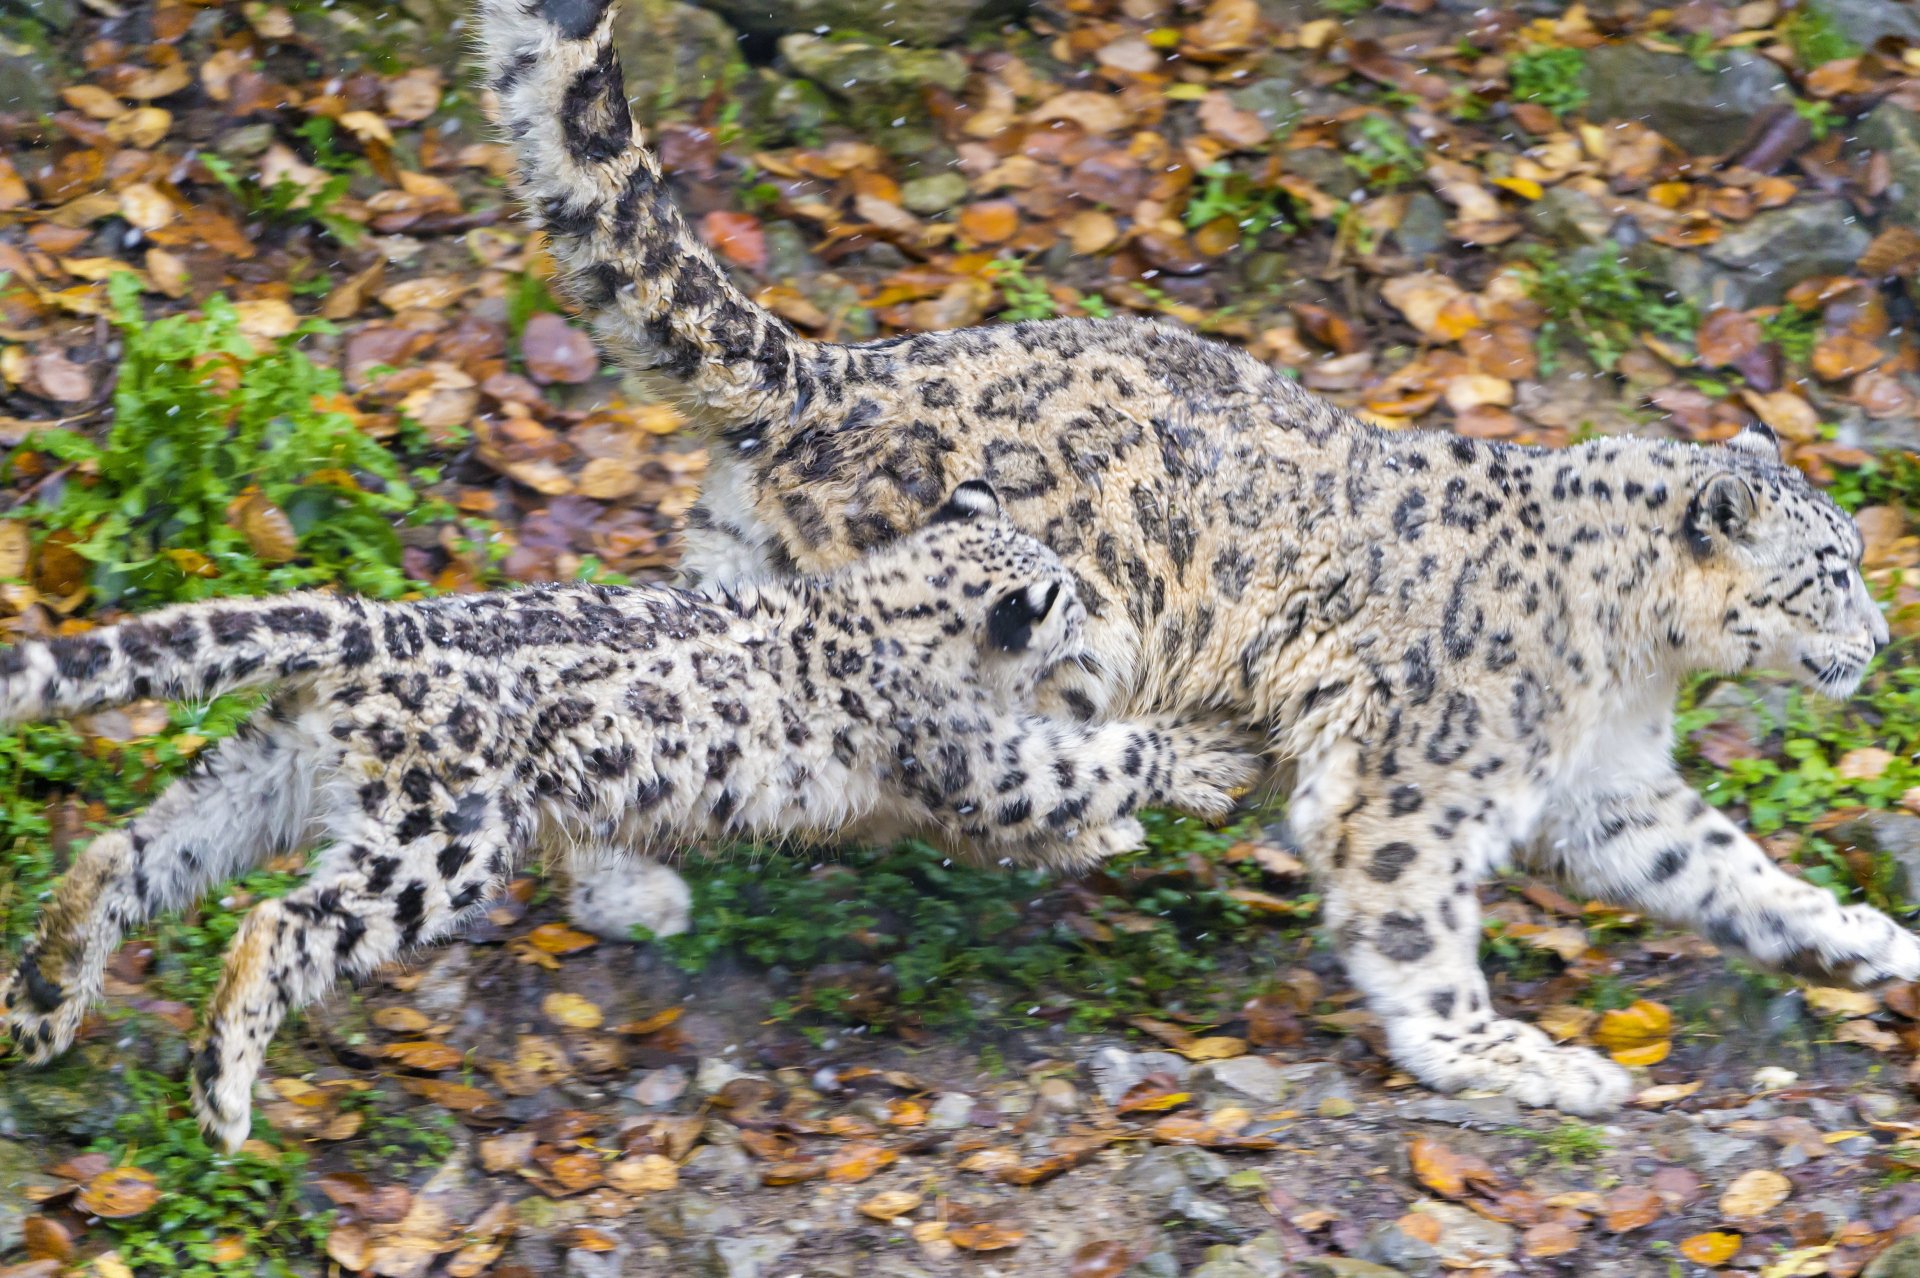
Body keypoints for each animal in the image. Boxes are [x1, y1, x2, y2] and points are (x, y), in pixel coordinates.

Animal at [0, 484, 1259, 1151]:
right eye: (1067, 602)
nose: (1098, 610)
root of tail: (373, 625)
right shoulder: (978, 762)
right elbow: (1084, 765)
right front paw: (1200, 766)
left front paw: (1119, 830)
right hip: (443, 839)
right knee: (278, 925)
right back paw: (221, 1094)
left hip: (271, 775)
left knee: (129, 851)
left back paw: (44, 1004)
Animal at [475, 0, 1912, 1116]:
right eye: (1829, 569)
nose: (1884, 642)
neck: (1632, 664)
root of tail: (826, 376)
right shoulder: (1421, 778)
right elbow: (1417, 922)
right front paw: (1504, 1054)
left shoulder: (1611, 784)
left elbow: (1720, 866)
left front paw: (1864, 939)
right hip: (1038, 640)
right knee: (959, 774)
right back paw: (1112, 809)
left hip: (729, 602)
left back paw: (628, 886)